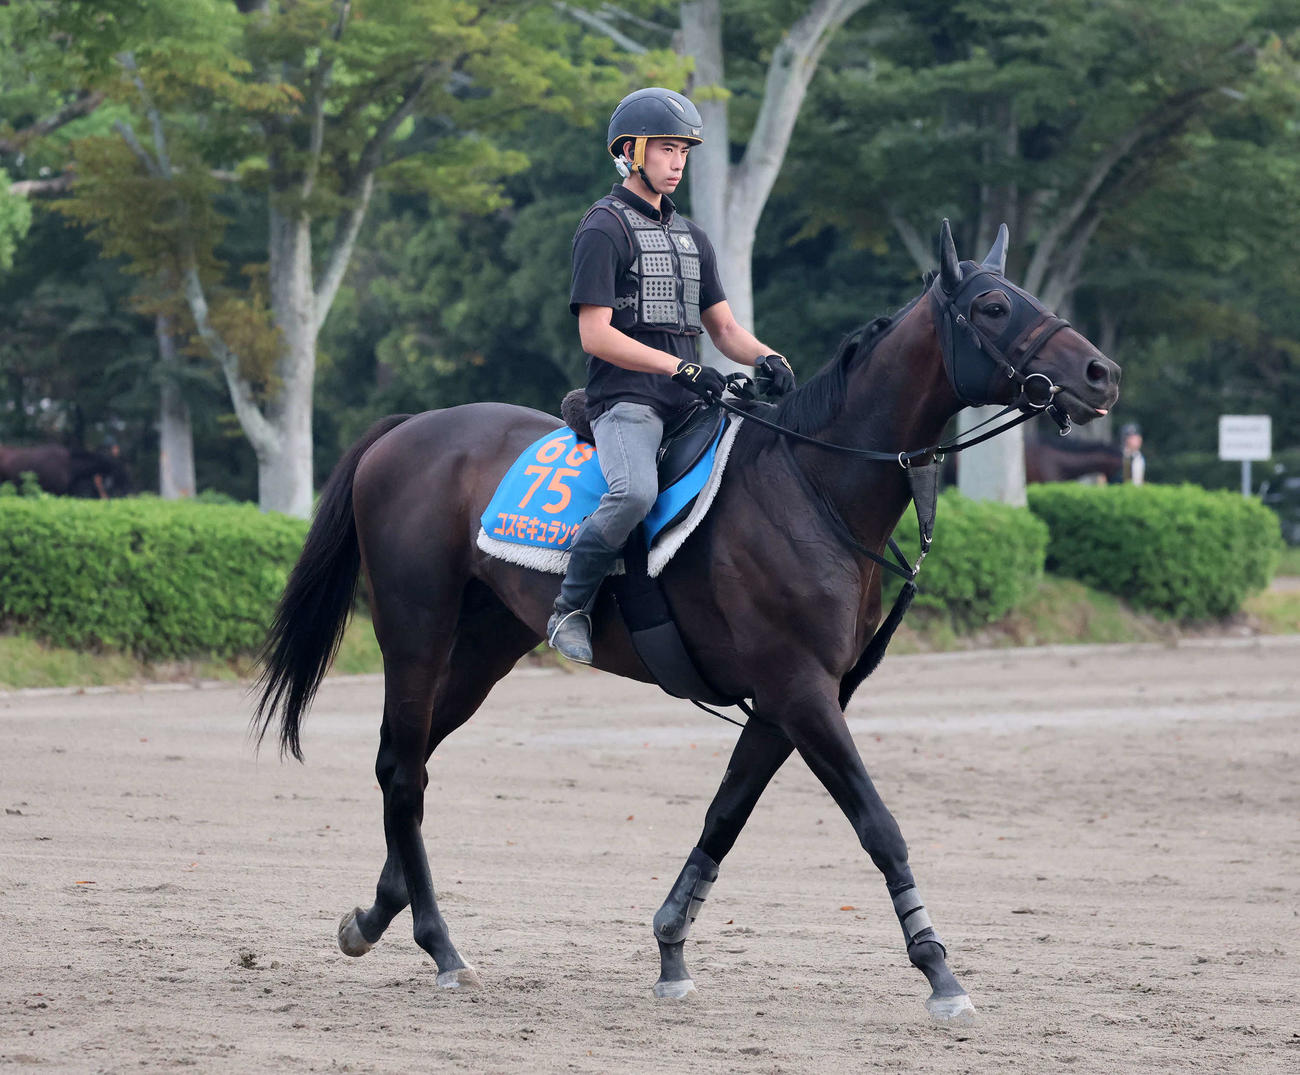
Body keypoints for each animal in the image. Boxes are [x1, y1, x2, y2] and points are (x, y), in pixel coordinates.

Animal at [254, 220, 1120, 1022]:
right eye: (995, 306)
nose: (1101, 373)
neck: (812, 484)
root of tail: (405, 430)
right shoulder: (801, 692)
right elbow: (880, 826)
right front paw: (938, 968)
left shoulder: (788, 702)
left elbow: (725, 815)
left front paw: (671, 946)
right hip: (418, 633)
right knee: (404, 770)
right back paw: (440, 945)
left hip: (483, 648)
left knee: (407, 763)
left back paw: (377, 912)